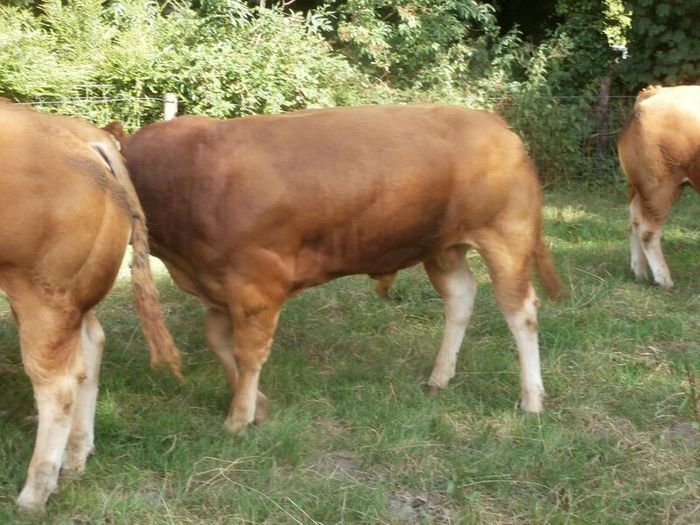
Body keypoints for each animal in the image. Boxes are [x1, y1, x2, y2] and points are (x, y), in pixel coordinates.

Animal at [0, 102, 181, 511]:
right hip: (71, 295)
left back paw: (35, 494)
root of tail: (87, 136)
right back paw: (76, 456)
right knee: (91, 346)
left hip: (40, 293)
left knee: (57, 384)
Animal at [105, 104, 562, 436]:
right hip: (442, 247)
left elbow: (248, 351)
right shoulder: (219, 285)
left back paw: (531, 399)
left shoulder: (255, 286)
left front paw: (238, 418)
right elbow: (218, 341)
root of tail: (496, 124)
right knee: (462, 297)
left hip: (506, 239)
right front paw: (256, 405)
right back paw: (439, 377)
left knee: (521, 313)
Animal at [617, 85, 700, 288]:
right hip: (659, 185)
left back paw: (640, 271)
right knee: (648, 230)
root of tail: (654, 93)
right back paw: (664, 279)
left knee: (634, 222)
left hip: (640, 187)